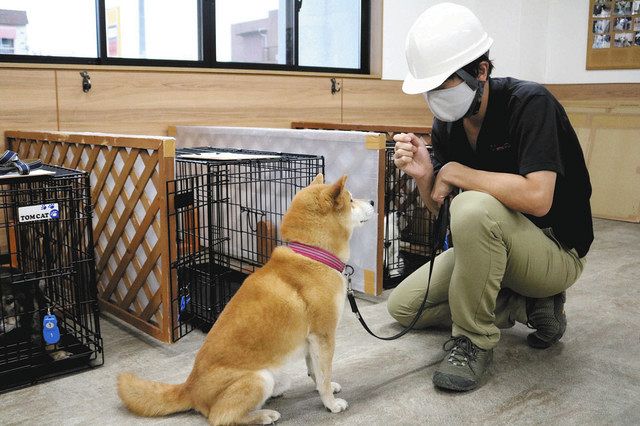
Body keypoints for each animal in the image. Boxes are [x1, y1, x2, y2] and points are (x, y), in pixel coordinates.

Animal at [119, 174, 376, 426]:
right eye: (351, 200)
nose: (374, 202)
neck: (312, 255)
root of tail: (189, 388)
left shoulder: (311, 341)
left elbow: (316, 372)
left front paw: (327, 389)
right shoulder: (323, 336)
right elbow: (323, 375)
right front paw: (330, 403)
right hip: (259, 378)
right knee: (220, 417)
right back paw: (263, 416)